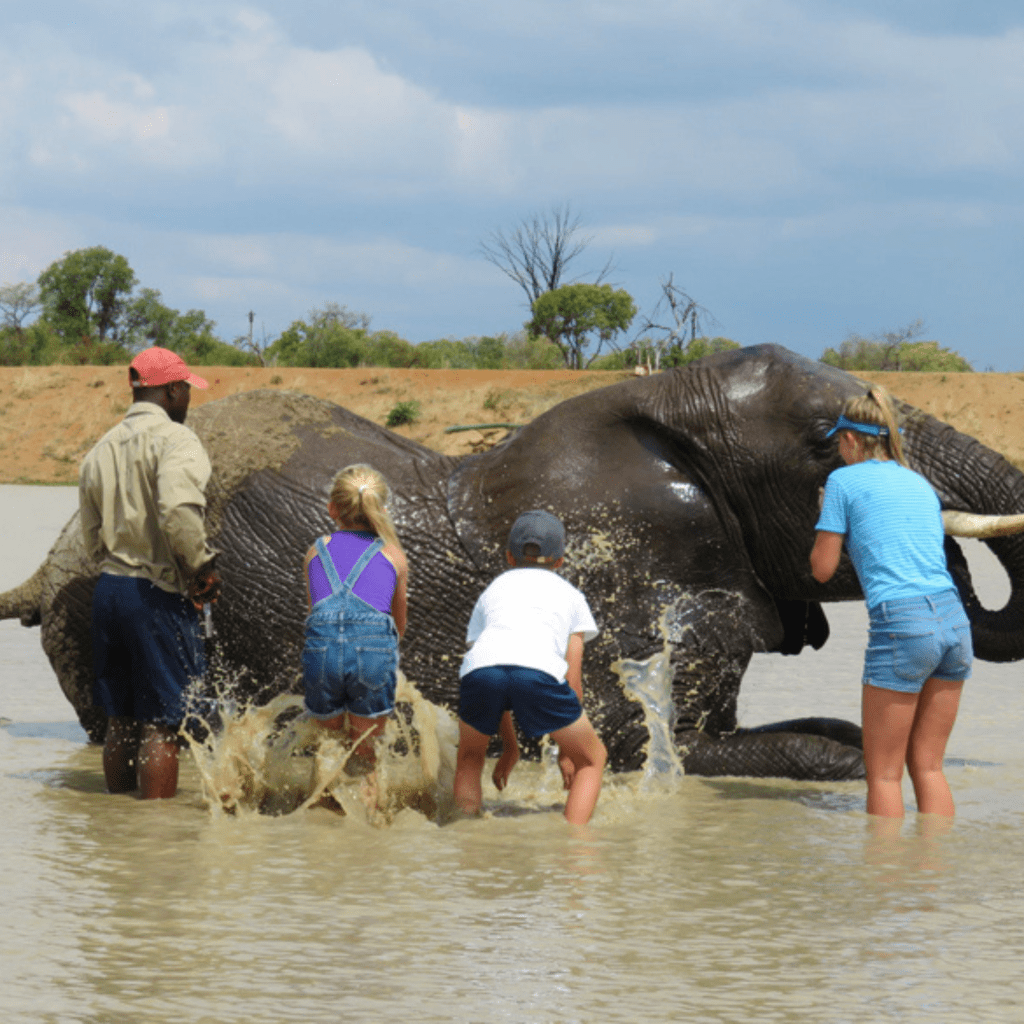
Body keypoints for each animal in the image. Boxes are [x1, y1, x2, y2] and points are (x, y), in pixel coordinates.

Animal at [6, 348, 1024, 778]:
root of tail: (50, 561)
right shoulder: (626, 584)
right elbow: (673, 743)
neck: (672, 402)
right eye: (824, 444)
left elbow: (821, 730)